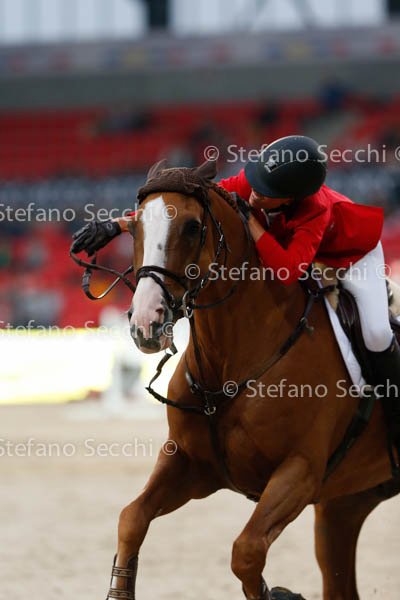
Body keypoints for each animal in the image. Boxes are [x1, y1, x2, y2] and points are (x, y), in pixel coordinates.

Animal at [105, 159, 399, 600]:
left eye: (192, 226)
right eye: (134, 225)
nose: (146, 322)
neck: (231, 363)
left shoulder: (300, 471)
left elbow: (247, 551)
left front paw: (278, 593)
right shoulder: (190, 464)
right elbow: (131, 518)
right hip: (344, 505)